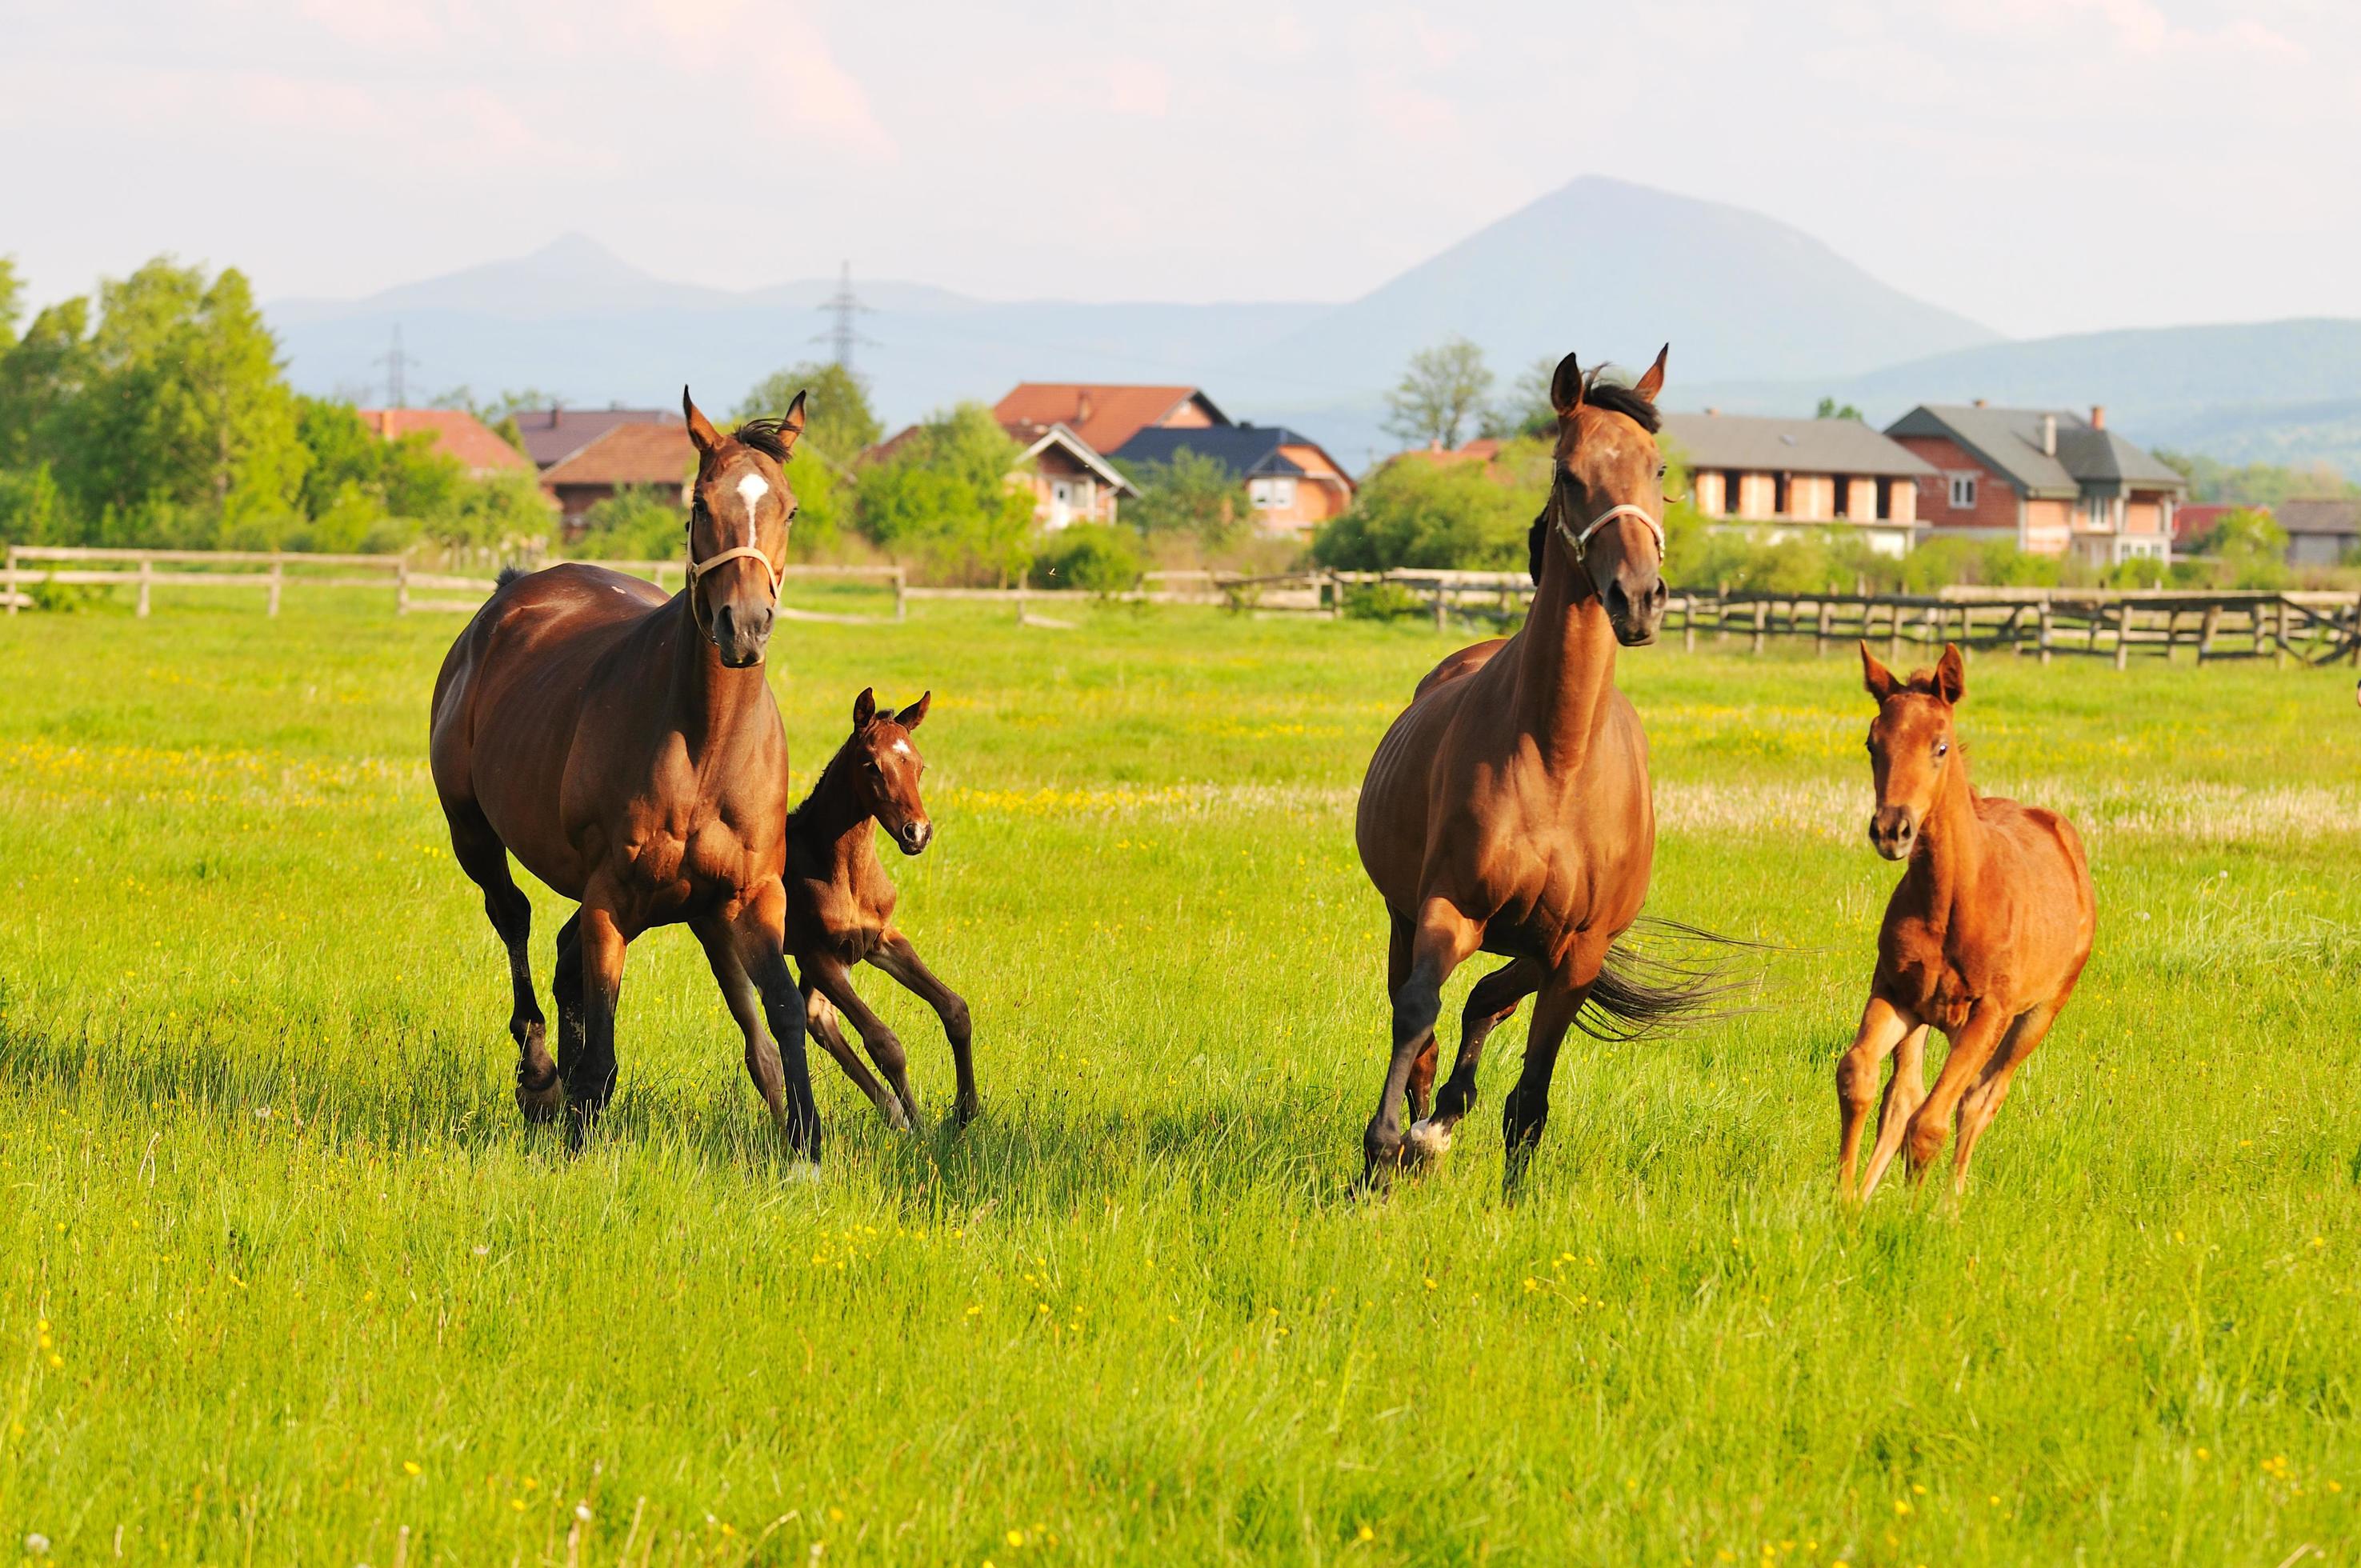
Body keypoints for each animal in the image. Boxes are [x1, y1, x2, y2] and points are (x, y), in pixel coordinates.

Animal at [430, 387, 826, 1157]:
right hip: (472, 834)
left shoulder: (750, 895)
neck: (704, 747)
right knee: (513, 917)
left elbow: (785, 1013)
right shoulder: (611, 897)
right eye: (700, 503)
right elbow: (602, 1056)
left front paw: (805, 1145)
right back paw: (539, 1075)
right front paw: (573, 1122)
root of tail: (509, 594)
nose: (744, 624)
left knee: (560, 954)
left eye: (789, 509)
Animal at [783, 685, 977, 1128]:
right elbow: (883, 1041)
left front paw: (964, 1111)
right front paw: (921, 1126)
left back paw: (893, 1113)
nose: (917, 833)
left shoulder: (878, 940)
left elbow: (955, 1009)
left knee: (819, 1019)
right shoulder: (813, 953)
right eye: (871, 765)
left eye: (919, 766)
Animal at [1350, 346, 1719, 1190]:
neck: (1557, 762)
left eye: (1656, 468)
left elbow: (1529, 1094)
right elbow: (1417, 1015)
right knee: (1427, 1017)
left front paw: (1498, 1180)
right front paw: (1383, 1154)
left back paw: (1445, 1118)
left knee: (1490, 1001)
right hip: (1403, 916)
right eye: (1568, 473)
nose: (1638, 598)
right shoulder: (1448, 908)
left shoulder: (1578, 946)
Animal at [1831, 642, 2096, 1194]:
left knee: (1980, 1100)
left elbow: (1931, 1123)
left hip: (2038, 1014)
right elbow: (1860, 1077)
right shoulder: (1895, 993)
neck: (1952, 904)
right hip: (1931, 1019)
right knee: (1904, 1094)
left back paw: (1951, 1201)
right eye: (1872, 744)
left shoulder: (1988, 1014)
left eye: (1941, 746)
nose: (1892, 829)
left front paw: (1915, 1212)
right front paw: (1843, 1200)